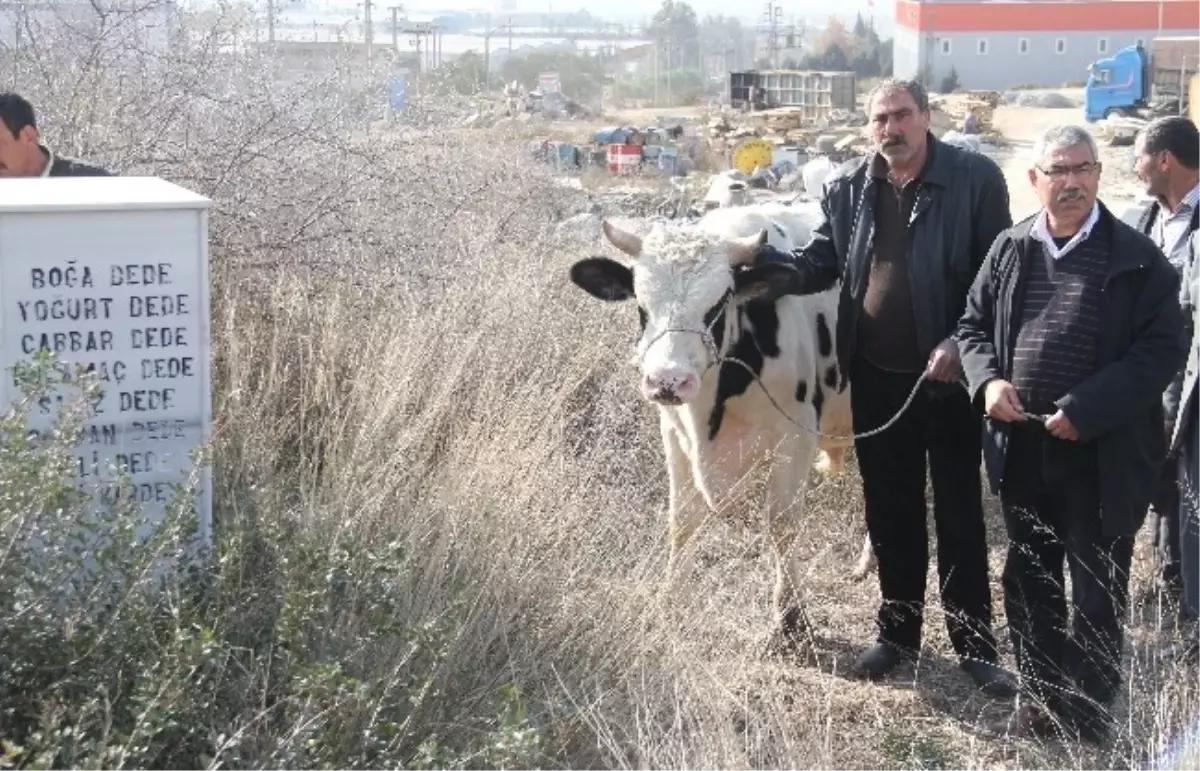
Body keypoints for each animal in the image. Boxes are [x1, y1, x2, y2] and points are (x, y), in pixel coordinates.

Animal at [568, 201, 859, 643]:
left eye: (718, 303)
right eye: (641, 305)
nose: (668, 380)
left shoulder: (796, 435)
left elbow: (783, 523)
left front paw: (790, 616)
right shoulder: (673, 432)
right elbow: (683, 519)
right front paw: (670, 599)